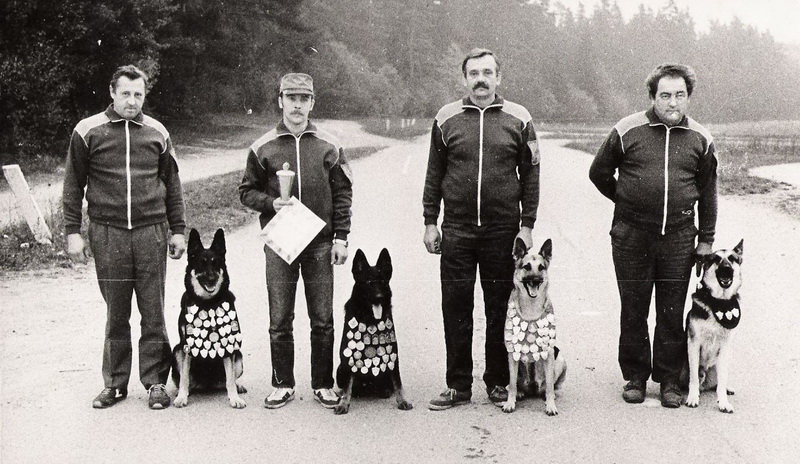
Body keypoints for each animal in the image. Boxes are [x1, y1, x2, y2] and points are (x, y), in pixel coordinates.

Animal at [172, 228, 246, 408]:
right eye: (201, 263)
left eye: (216, 262)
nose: (212, 279)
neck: (207, 303)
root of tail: (208, 384)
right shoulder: (186, 346)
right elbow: (184, 377)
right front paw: (181, 397)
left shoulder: (228, 343)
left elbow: (230, 379)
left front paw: (234, 398)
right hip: (176, 350)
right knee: (185, 380)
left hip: (238, 354)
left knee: (228, 379)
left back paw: (238, 387)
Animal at [333, 248, 412, 415]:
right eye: (368, 283)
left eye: (382, 282)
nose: (379, 297)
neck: (370, 319)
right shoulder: (348, 359)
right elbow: (348, 386)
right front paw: (344, 403)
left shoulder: (393, 357)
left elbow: (398, 383)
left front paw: (402, 400)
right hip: (340, 369)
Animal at [502, 238, 566, 415]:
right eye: (527, 267)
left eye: (541, 267)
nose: (536, 280)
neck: (531, 308)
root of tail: (532, 388)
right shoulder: (512, 352)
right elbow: (512, 383)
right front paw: (510, 402)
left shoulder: (549, 351)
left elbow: (550, 385)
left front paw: (551, 405)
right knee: (516, 384)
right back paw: (520, 392)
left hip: (560, 359)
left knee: (550, 385)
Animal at [684, 239, 743, 413]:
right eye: (716, 259)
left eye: (732, 258)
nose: (727, 269)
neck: (720, 303)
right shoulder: (694, 344)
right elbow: (693, 378)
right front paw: (692, 398)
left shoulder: (724, 347)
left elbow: (722, 381)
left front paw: (723, 402)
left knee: (719, 382)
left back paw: (727, 388)